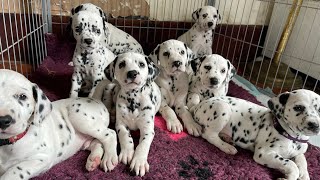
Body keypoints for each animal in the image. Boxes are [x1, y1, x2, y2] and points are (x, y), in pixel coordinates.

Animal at [192, 90, 320, 180]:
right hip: (222, 108)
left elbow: (302, 160)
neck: (294, 138)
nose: (314, 125)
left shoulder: (299, 151)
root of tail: (198, 105)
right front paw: (290, 176)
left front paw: (304, 175)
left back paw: (227, 138)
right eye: (298, 108)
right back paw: (227, 147)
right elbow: (291, 163)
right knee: (209, 135)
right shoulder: (264, 153)